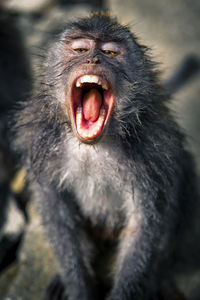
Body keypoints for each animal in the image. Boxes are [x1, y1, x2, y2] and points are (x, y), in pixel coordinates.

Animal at [13, 12, 198, 300]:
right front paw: (78, 287)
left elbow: (141, 226)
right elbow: (60, 219)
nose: (93, 59)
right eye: (80, 50)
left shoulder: (155, 151)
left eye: (110, 52)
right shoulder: (39, 141)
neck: (93, 147)